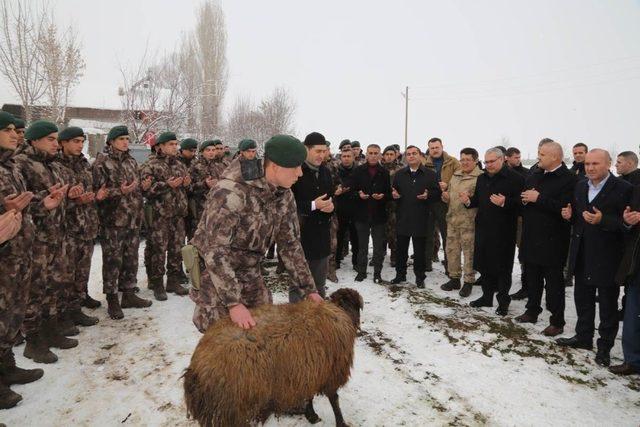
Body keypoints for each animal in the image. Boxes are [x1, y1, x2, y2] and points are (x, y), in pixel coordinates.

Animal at [182, 288, 362, 427]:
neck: (339, 310)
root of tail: (196, 370)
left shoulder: (309, 370)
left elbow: (309, 395)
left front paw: (311, 415)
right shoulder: (331, 371)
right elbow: (334, 400)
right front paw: (340, 422)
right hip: (235, 407)